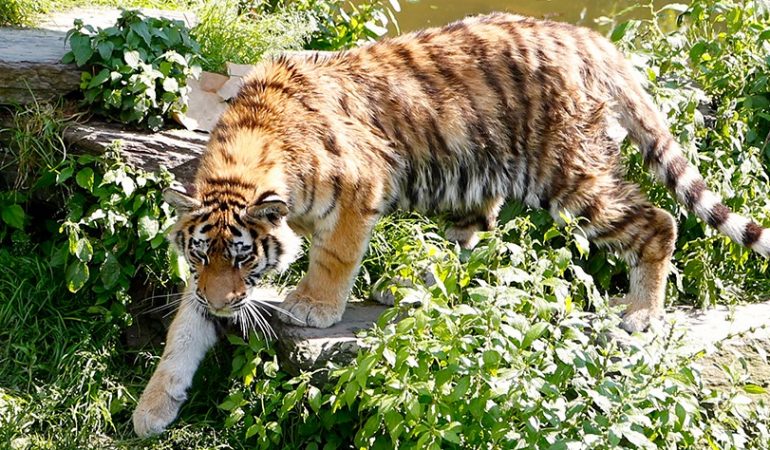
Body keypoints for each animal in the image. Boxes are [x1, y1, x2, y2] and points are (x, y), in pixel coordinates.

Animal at [132, 12, 770, 437]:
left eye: (244, 257)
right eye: (201, 257)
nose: (221, 304)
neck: (246, 154)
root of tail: (584, 35)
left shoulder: (361, 188)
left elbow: (334, 257)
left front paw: (313, 306)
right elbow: (181, 333)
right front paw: (152, 409)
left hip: (569, 177)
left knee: (658, 219)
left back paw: (641, 313)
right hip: (472, 180)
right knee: (471, 239)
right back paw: (408, 288)